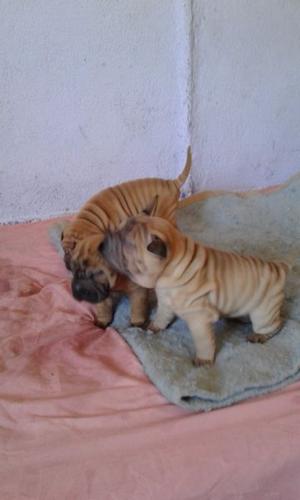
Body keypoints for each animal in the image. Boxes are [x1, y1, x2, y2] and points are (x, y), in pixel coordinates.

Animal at [50, 147, 191, 328]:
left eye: (73, 250)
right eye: (64, 249)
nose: (67, 264)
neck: (89, 220)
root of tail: (171, 182)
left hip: (166, 214)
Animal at [101, 213, 290, 366]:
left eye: (125, 244)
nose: (103, 242)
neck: (172, 267)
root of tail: (278, 268)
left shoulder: (200, 319)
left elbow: (203, 341)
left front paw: (204, 360)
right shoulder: (166, 304)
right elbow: (161, 318)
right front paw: (154, 327)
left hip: (263, 311)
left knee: (276, 324)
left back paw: (259, 335)